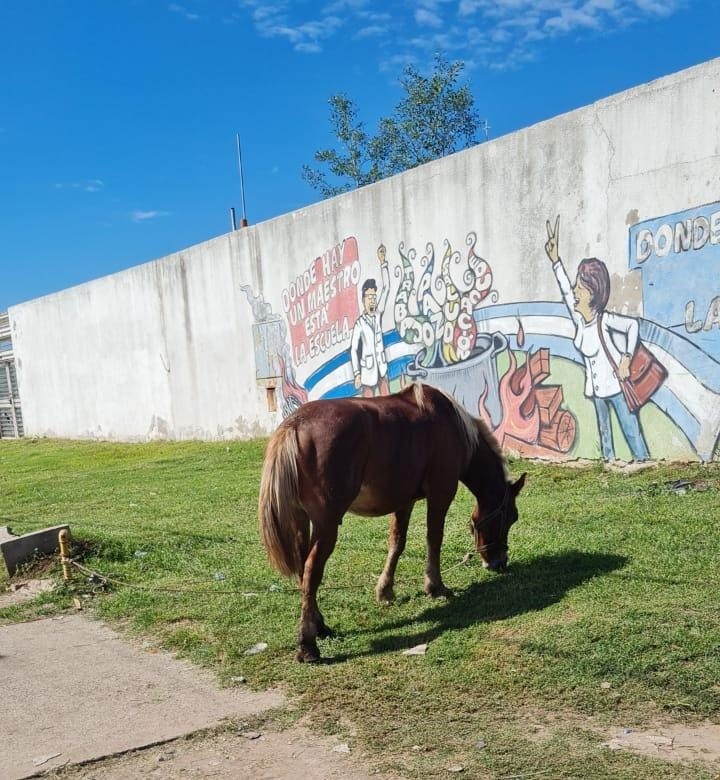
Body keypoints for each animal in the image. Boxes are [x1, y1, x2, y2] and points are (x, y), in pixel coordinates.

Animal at [258, 382, 525, 663]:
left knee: (303, 569)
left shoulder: (404, 501)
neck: (452, 424)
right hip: (326, 524)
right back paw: (307, 644)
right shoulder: (441, 493)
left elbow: (397, 543)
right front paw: (435, 586)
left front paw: (385, 591)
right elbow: (434, 538)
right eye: (511, 517)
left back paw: (319, 624)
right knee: (311, 570)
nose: (499, 562)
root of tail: (295, 426)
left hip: (301, 520)